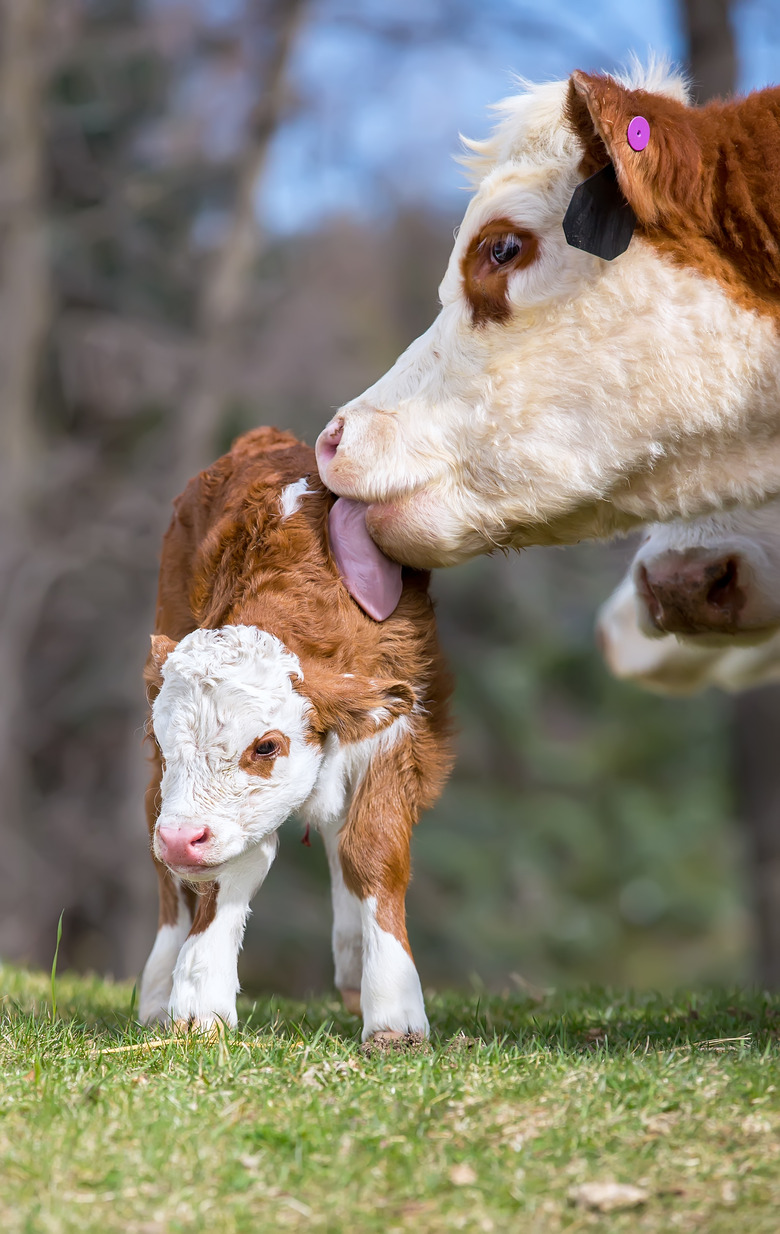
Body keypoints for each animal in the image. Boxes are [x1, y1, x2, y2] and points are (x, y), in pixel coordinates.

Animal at [139, 429, 454, 1036]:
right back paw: (156, 988)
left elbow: (372, 850)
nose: (179, 839)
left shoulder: (400, 725)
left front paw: (394, 1011)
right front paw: (197, 1002)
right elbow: (228, 867)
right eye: (163, 742)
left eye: (266, 745)